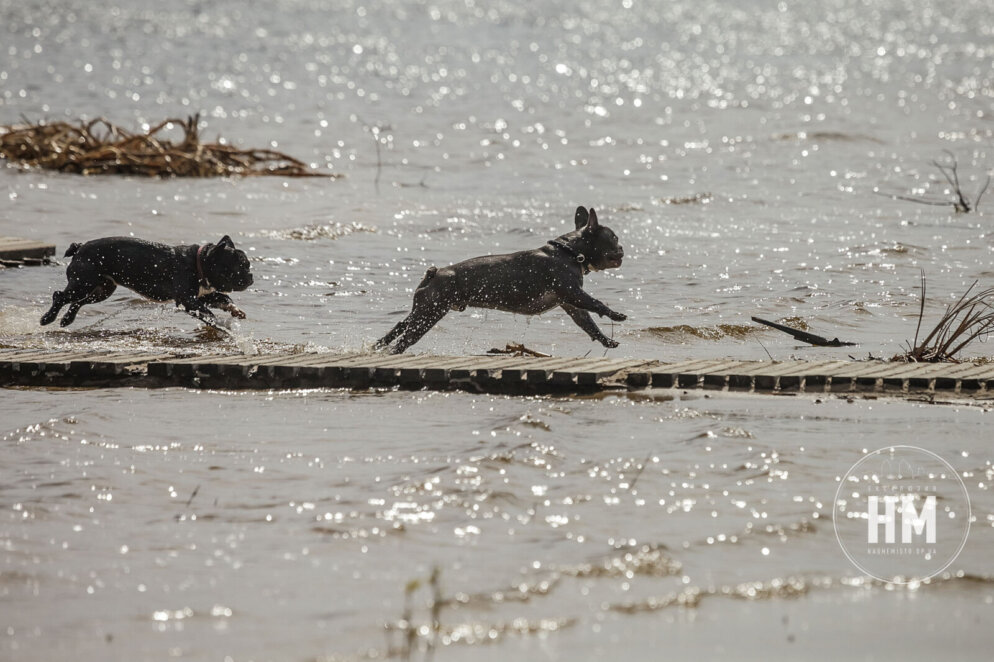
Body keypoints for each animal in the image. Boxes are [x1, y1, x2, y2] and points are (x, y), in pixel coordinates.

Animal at [39, 236, 252, 330]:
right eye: (240, 267)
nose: (250, 276)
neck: (199, 262)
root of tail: (80, 247)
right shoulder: (188, 300)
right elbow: (208, 313)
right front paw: (220, 322)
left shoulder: (201, 296)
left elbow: (223, 298)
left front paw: (236, 311)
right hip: (82, 284)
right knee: (60, 296)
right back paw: (48, 318)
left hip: (102, 290)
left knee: (78, 302)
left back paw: (67, 319)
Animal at [376, 208, 624, 356]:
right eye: (614, 238)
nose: (622, 248)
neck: (570, 252)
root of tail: (433, 274)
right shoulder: (573, 293)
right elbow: (596, 303)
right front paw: (616, 315)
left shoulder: (571, 303)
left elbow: (588, 323)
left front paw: (606, 340)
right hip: (429, 314)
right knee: (404, 340)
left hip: (423, 310)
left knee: (399, 326)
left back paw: (378, 345)